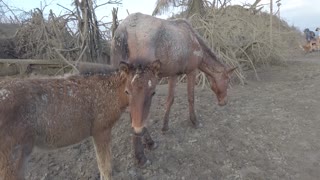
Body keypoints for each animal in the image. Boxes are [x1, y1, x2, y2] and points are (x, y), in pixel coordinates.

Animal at [0, 61, 159, 179]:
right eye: (127, 91)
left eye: (153, 93)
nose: (138, 129)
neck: (108, 93)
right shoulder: (101, 131)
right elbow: (105, 169)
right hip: (11, 160)